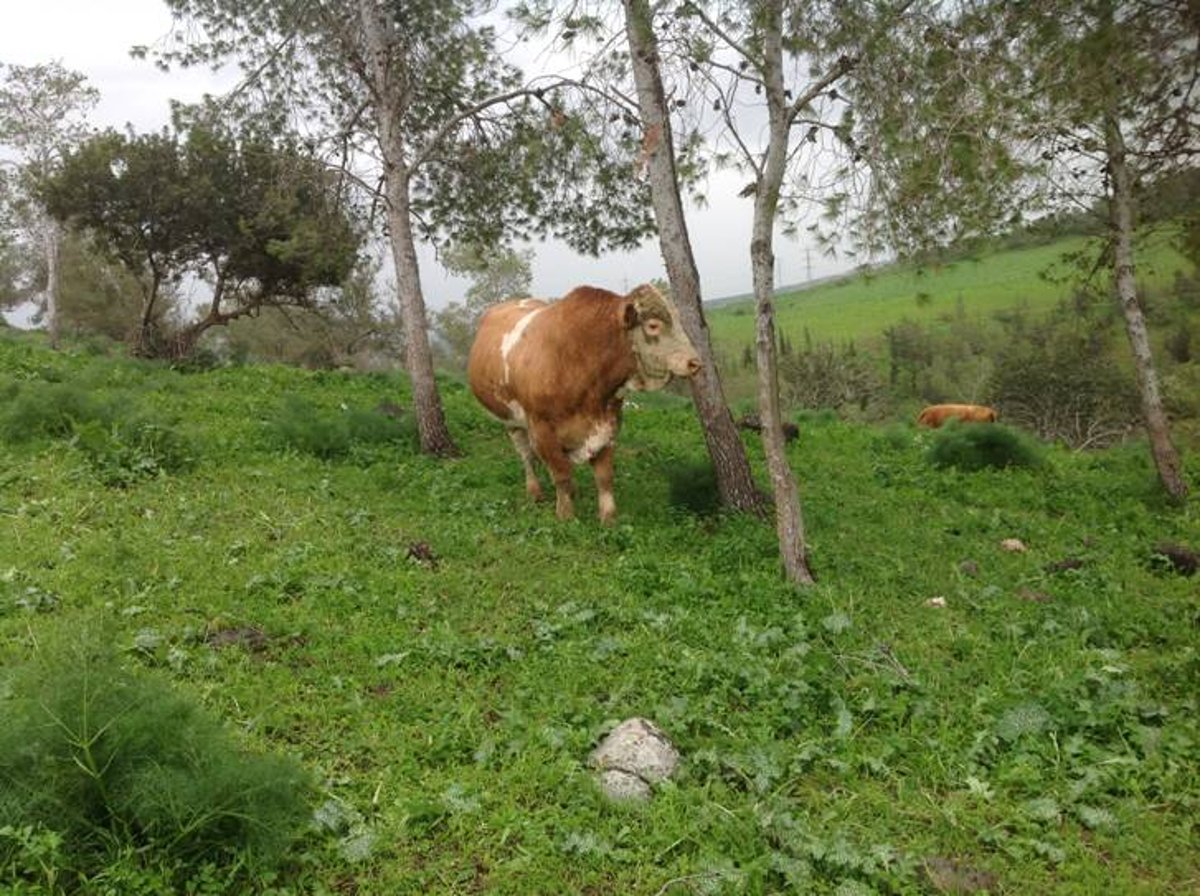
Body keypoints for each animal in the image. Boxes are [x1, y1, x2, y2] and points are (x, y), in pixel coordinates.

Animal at [463, 285, 700, 525]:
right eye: (653, 325)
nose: (694, 362)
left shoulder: (608, 425)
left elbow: (604, 477)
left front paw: (608, 518)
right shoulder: (542, 430)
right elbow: (560, 473)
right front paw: (565, 515)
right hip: (511, 421)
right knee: (526, 456)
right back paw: (535, 492)